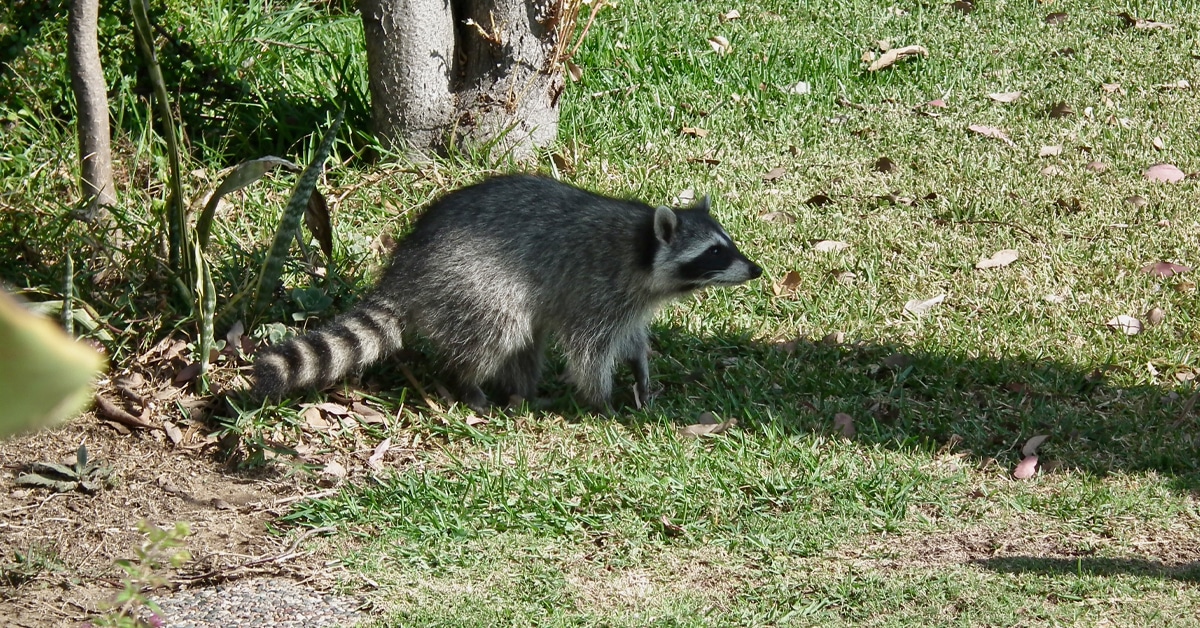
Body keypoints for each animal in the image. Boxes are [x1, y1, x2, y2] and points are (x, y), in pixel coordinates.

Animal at [252, 174, 758, 413]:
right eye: (715, 252)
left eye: (727, 243)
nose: (755, 269)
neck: (641, 247)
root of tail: (407, 267)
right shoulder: (596, 290)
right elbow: (589, 351)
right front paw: (602, 401)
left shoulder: (630, 302)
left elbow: (631, 339)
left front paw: (641, 375)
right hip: (474, 282)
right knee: (499, 332)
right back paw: (469, 383)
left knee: (526, 343)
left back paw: (523, 392)